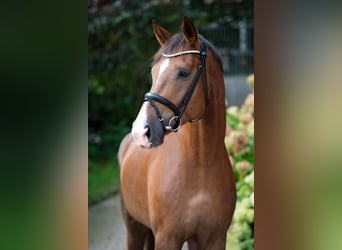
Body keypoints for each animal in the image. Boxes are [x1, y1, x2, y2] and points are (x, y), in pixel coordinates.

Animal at [119, 16, 236, 249]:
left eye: (183, 73)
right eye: (153, 72)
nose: (141, 131)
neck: (200, 165)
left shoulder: (215, 238)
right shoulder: (167, 239)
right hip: (134, 228)